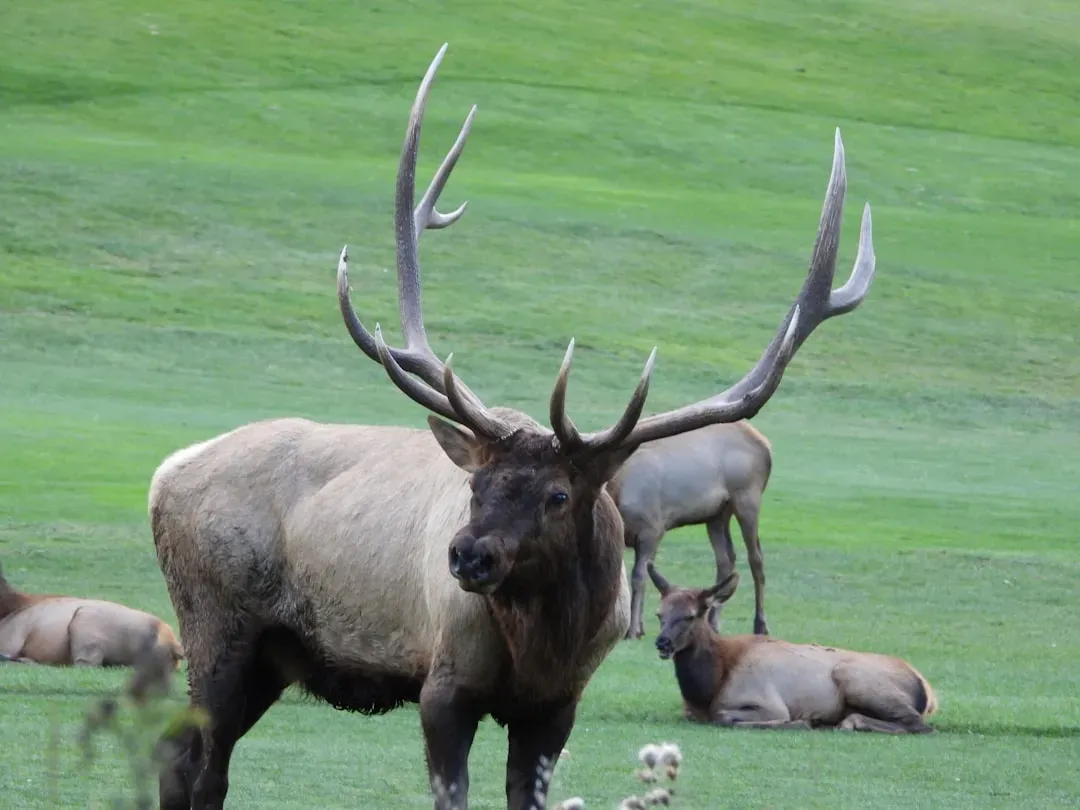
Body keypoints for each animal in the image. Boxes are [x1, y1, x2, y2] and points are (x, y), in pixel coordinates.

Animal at [609, 420, 773, 640]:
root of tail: (765, 444)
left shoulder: (651, 529)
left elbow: (639, 577)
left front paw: (633, 630)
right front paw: (639, 627)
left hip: (747, 497)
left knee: (756, 557)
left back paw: (761, 624)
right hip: (717, 513)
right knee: (726, 558)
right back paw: (713, 622)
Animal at [647, 563, 937, 734]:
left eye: (690, 616)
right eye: (659, 614)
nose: (662, 642)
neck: (710, 684)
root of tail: (928, 691)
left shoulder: (768, 702)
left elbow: (725, 717)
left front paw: (803, 721)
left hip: (853, 677)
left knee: (917, 723)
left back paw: (847, 722)